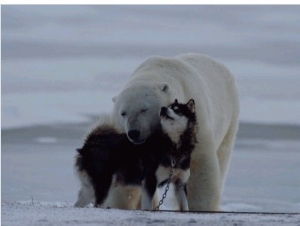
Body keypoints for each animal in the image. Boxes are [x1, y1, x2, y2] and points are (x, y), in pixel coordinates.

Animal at [109, 53, 238, 212]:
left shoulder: (194, 125)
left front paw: (202, 207)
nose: (134, 132)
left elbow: (200, 166)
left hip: (230, 116)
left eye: (144, 109)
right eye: (123, 113)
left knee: (222, 155)